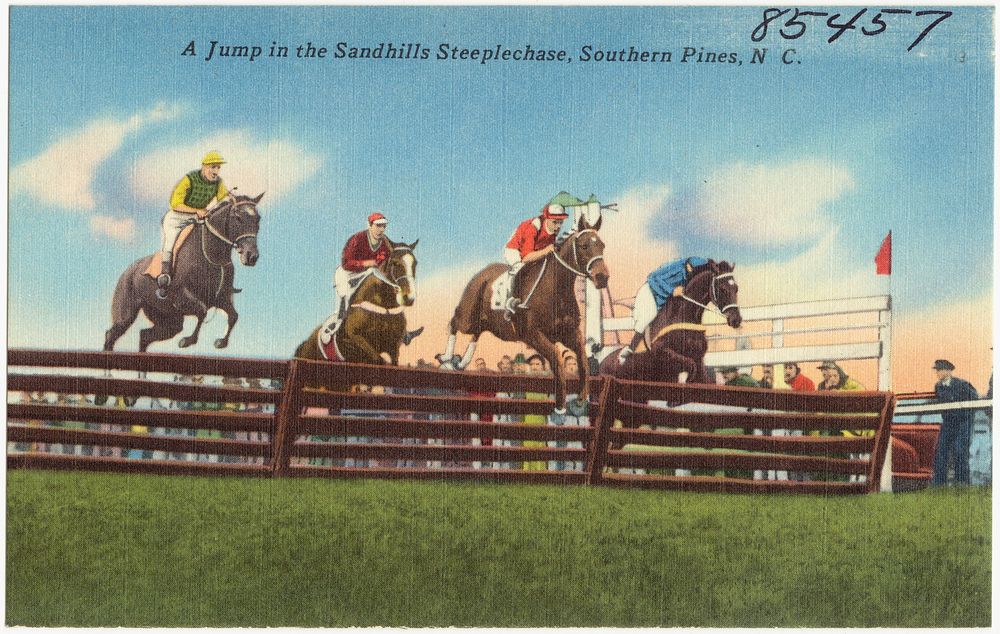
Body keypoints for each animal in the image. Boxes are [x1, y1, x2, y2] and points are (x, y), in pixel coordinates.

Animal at [104, 193, 264, 350]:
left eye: (258, 219)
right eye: (238, 217)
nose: (251, 256)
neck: (212, 256)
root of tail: (128, 271)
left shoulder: (220, 298)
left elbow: (233, 316)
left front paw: (221, 342)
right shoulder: (182, 298)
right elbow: (202, 311)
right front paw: (188, 341)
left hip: (170, 320)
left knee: (145, 335)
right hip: (126, 313)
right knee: (111, 334)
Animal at [296, 238, 422, 366]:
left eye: (415, 263)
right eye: (395, 263)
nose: (409, 298)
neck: (384, 306)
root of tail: (305, 343)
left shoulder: (394, 347)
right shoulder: (356, 338)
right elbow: (378, 359)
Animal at [434, 215, 604, 408]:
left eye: (602, 245)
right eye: (584, 246)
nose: (602, 277)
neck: (555, 290)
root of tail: (481, 275)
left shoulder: (569, 333)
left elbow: (583, 361)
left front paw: (582, 399)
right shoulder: (533, 335)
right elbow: (557, 360)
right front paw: (560, 406)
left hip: (487, 323)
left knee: (477, 333)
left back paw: (462, 363)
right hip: (467, 318)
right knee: (454, 323)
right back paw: (447, 359)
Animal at [596, 260, 740, 382]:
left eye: (736, 288)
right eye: (723, 289)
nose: (736, 320)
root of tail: (601, 364)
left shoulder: (699, 358)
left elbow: (701, 375)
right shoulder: (662, 352)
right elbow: (690, 367)